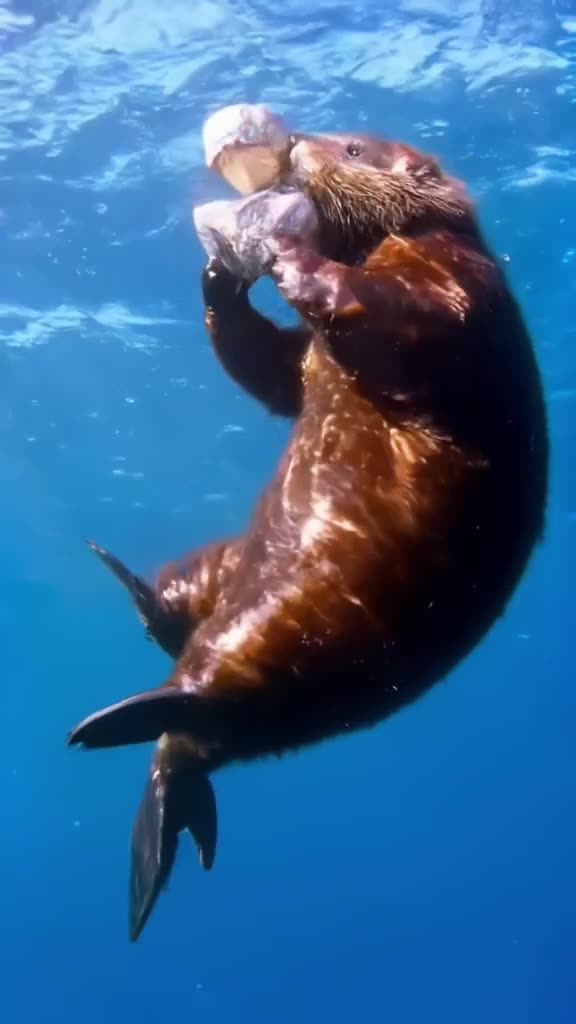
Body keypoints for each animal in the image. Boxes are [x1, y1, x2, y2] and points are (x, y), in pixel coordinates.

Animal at [68, 126, 549, 943]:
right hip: (224, 574)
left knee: (194, 694)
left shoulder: (453, 281)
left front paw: (280, 239)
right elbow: (274, 368)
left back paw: (101, 729)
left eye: (352, 147)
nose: (293, 140)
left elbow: (386, 309)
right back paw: (127, 587)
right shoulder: (317, 349)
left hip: (277, 635)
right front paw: (218, 270)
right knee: (178, 636)